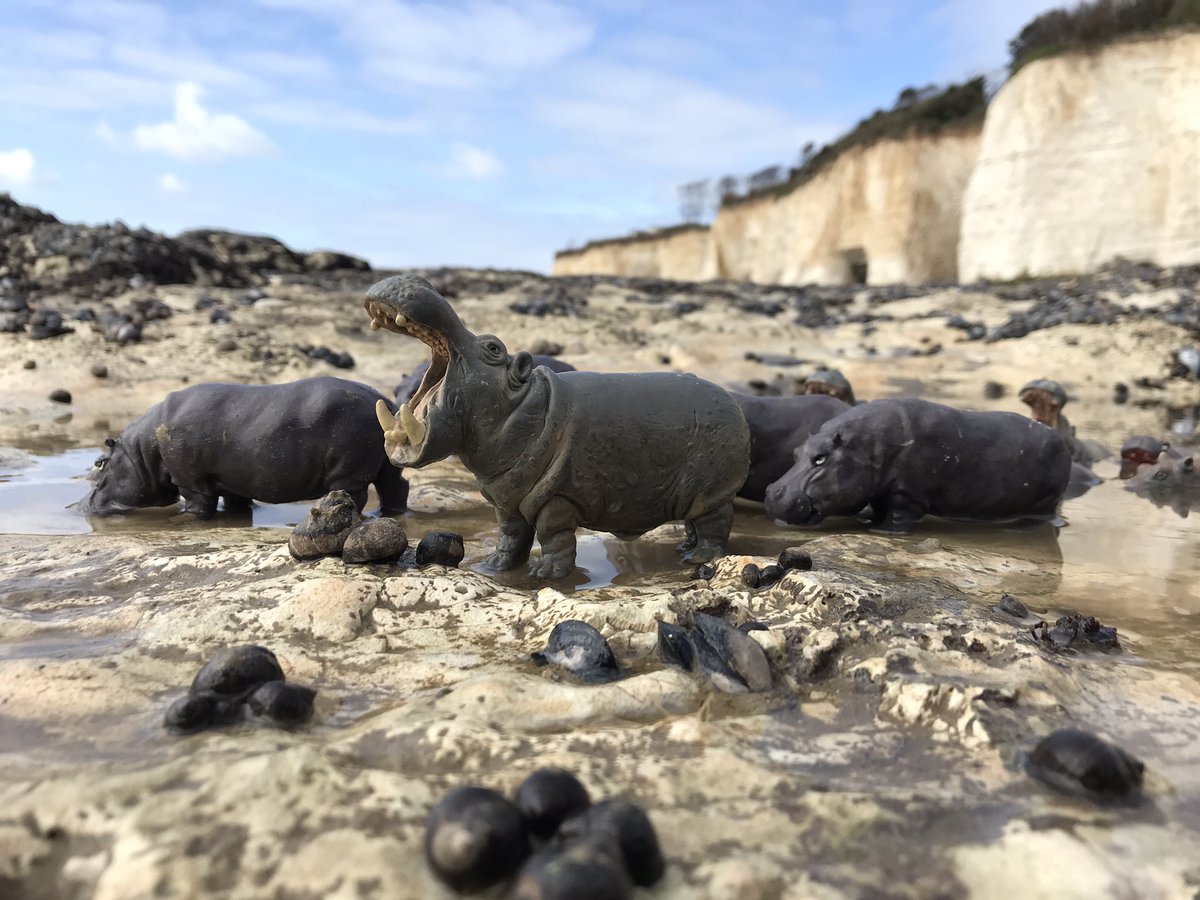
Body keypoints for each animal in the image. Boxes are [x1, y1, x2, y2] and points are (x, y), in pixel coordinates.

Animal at [81, 377, 409, 517]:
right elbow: (236, 502)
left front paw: (182, 519)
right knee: (396, 487)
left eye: (100, 462)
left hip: (348, 472)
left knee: (357, 495)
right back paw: (388, 514)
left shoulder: (191, 481)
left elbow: (198, 504)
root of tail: (386, 402)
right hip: (384, 465)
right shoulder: (233, 481)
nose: (82, 505)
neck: (142, 451)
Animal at [764, 398, 1072, 532]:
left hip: (1044, 500)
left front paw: (881, 531)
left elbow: (897, 517)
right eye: (795, 453)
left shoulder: (906, 494)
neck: (866, 445)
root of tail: (1061, 442)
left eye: (821, 458)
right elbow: (879, 508)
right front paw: (870, 523)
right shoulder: (883, 491)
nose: (773, 493)